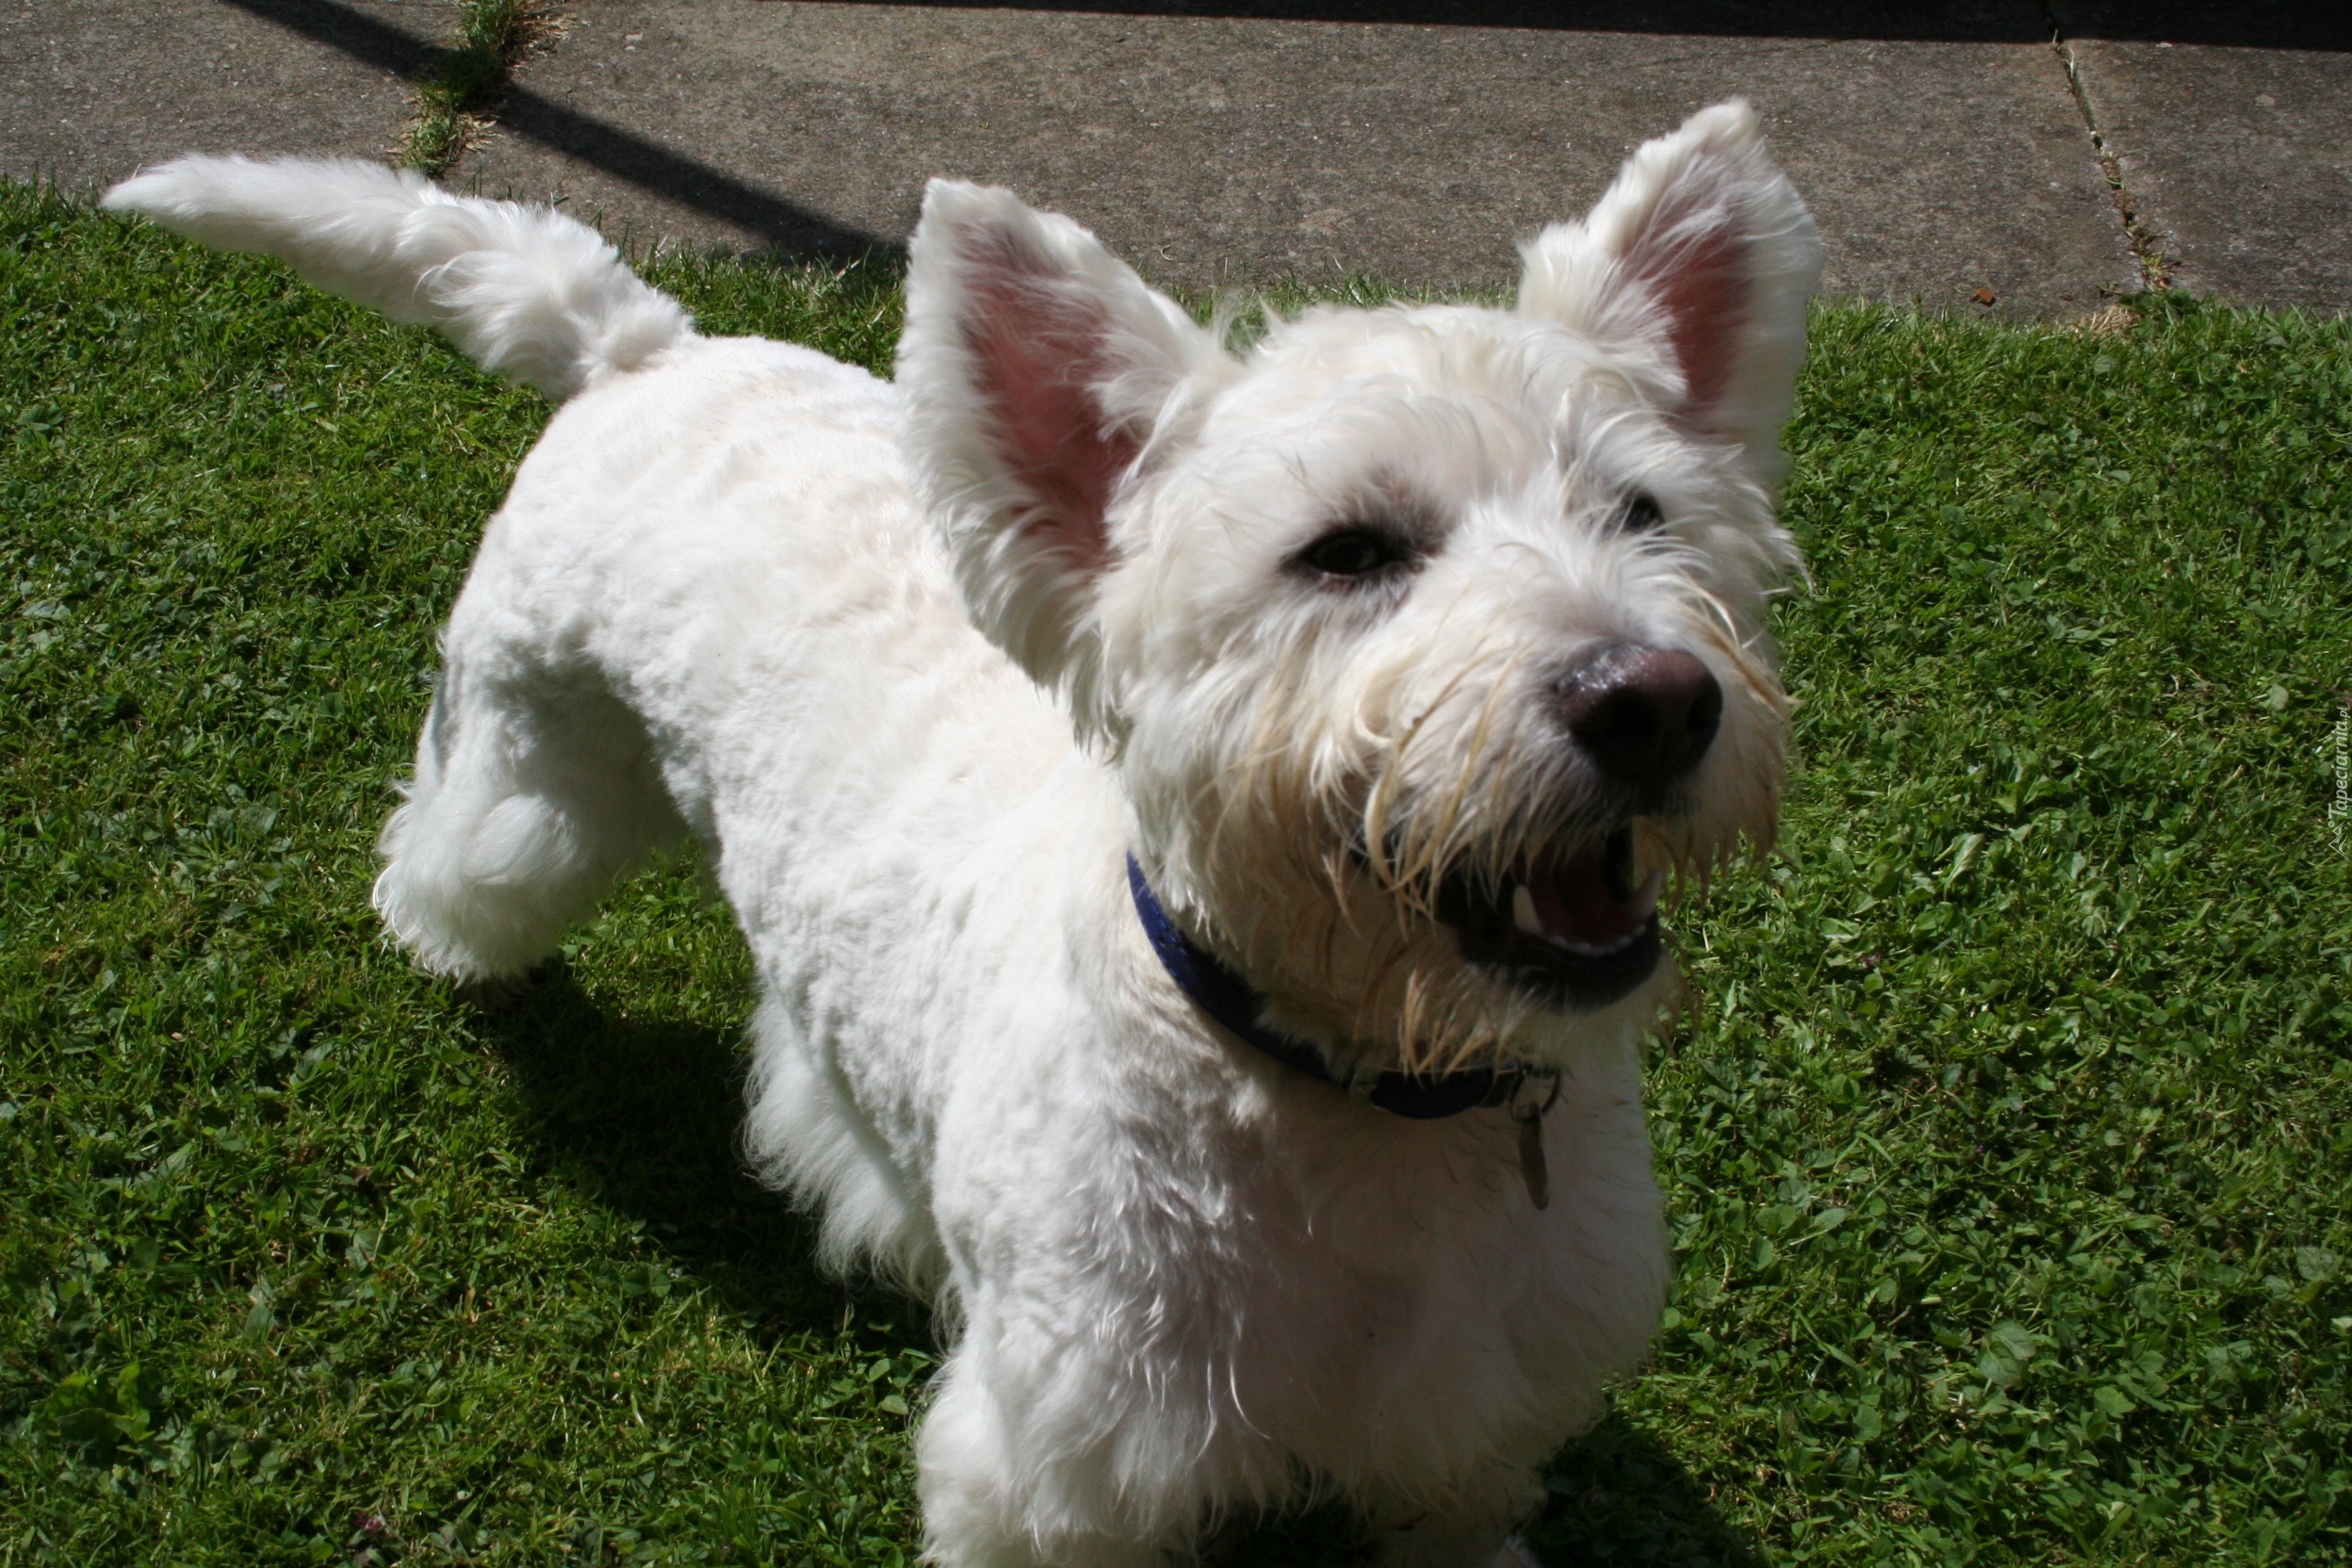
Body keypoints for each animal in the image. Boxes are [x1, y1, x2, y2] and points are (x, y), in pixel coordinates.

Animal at [110, 101, 1815, 1568]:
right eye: (1345, 551)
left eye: (1643, 513)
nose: (1652, 702)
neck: (1371, 1100)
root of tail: (647, 350)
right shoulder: (1067, 1463)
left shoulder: (1472, 1422)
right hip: (535, 779)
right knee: (447, 844)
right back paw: (449, 950)